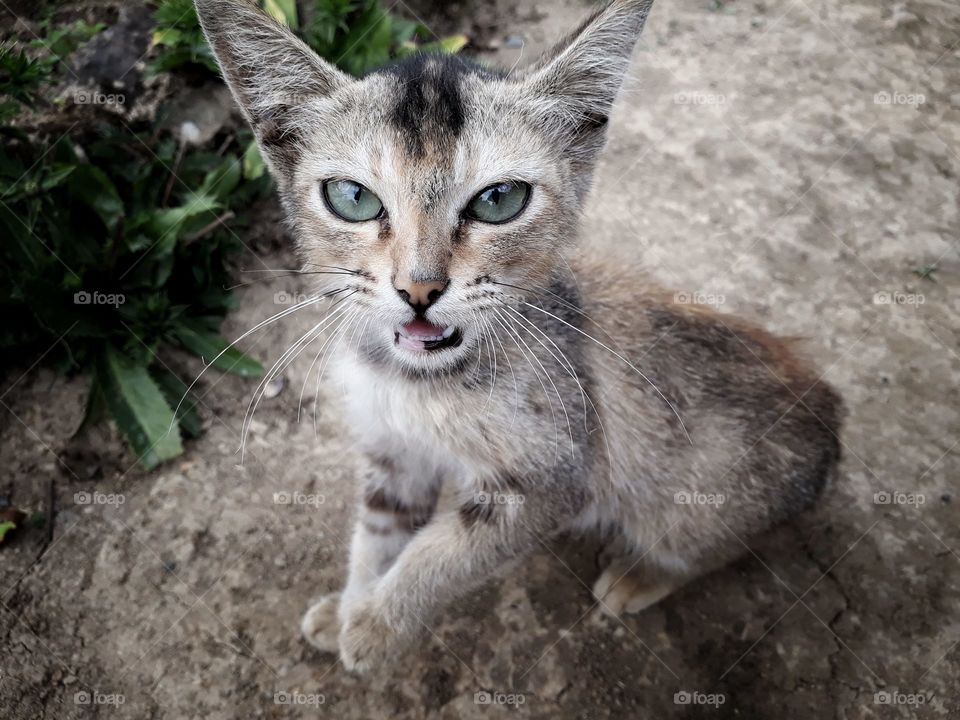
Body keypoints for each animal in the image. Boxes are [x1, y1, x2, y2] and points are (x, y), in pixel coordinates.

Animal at [199, 0, 844, 676]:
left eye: (500, 200)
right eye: (351, 198)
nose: (419, 288)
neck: (416, 380)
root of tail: (831, 415)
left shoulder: (554, 479)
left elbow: (445, 554)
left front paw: (378, 624)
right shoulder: (393, 456)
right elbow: (378, 535)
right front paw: (352, 604)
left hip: (698, 499)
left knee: (714, 541)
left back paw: (641, 575)